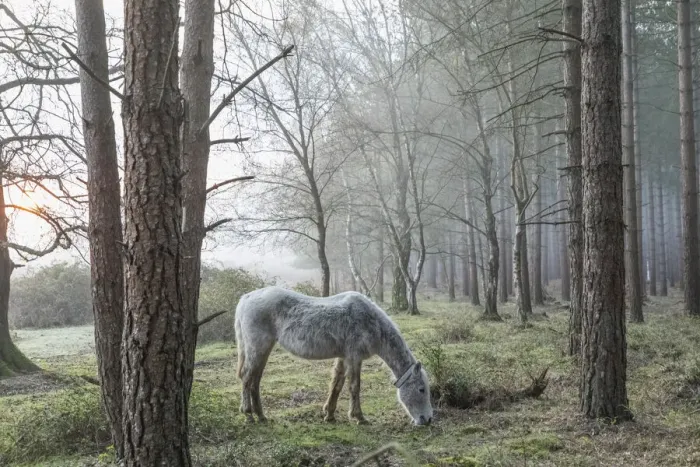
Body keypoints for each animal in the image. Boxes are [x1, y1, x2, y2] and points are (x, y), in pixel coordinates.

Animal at [234, 286, 433, 425]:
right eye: (421, 389)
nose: (428, 419)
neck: (371, 322)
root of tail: (246, 298)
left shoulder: (344, 358)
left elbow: (337, 385)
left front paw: (329, 414)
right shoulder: (354, 358)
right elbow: (354, 387)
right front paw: (359, 417)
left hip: (262, 351)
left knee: (255, 381)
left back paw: (261, 416)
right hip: (258, 348)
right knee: (247, 378)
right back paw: (248, 414)